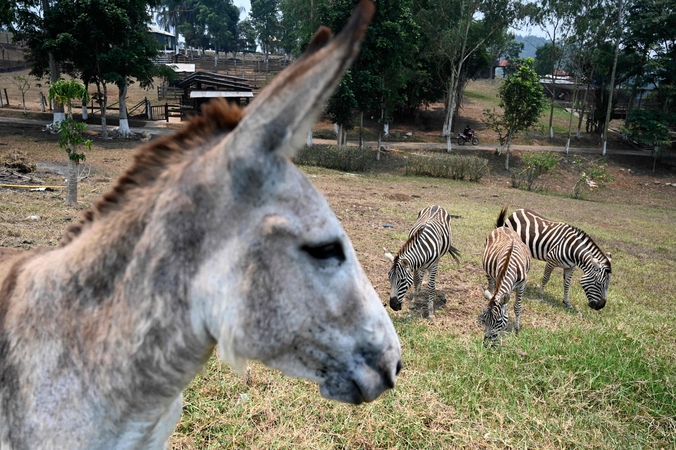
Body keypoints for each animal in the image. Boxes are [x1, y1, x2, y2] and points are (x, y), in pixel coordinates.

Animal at [478, 207, 532, 344]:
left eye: (498, 321)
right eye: (485, 319)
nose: (486, 343)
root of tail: (501, 227)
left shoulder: (522, 284)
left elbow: (517, 307)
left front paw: (517, 329)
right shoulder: (498, 277)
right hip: (488, 270)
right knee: (491, 288)